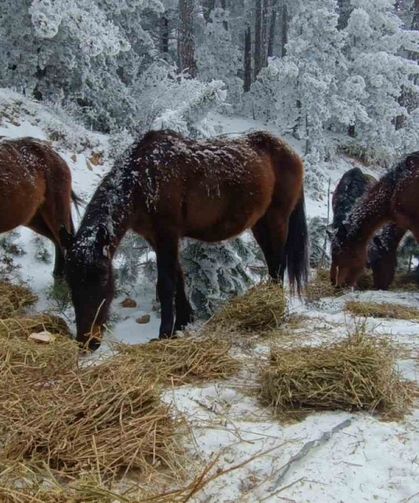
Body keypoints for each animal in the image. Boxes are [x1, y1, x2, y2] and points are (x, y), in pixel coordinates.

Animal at [0, 137, 78, 280]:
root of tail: (59, 158)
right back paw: (58, 275)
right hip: (33, 217)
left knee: (66, 241)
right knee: (57, 240)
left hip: (56, 210)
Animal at [60, 130, 310, 350]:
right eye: (71, 283)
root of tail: (293, 154)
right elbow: (178, 278)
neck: (144, 177)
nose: (87, 342)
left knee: (278, 264)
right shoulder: (157, 238)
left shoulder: (167, 235)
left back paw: (274, 309)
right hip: (260, 224)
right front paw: (182, 323)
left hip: (276, 220)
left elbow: (165, 284)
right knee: (272, 261)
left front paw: (164, 334)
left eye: (103, 281)